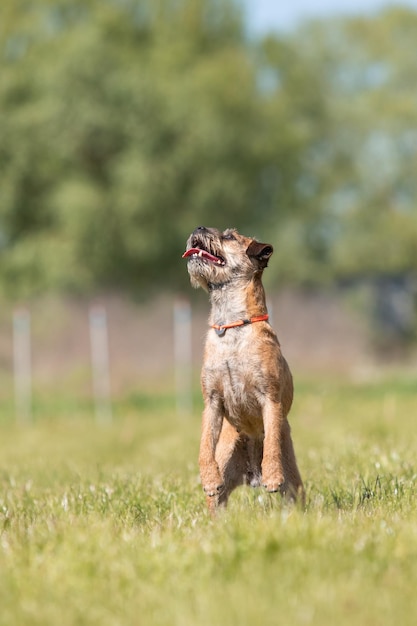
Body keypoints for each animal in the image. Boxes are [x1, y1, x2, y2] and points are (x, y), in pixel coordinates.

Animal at [182, 224, 302, 512]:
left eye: (228, 236)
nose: (198, 227)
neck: (232, 327)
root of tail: (251, 476)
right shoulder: (212, 402)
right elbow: (204, 443)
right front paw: (208, 477)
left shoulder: (270, 397)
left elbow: (271, 441)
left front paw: (272, 475)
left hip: (296, 486)